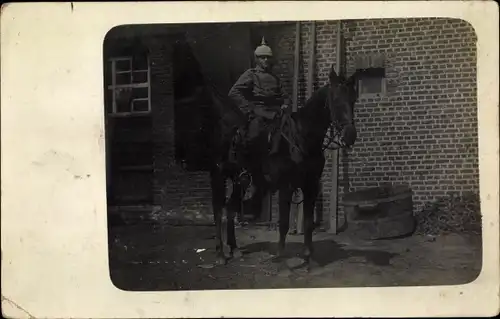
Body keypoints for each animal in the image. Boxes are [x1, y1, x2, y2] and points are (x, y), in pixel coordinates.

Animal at [208, 64, 360, 268]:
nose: (350, 135)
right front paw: (280, 255)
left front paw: (308, 256)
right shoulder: (286, 186)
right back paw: (220, 255)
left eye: (353, 99)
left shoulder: (311, 185)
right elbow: (284, 222)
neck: (302, 138)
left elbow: (308, 222)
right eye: (335, 99)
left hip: (240, 180)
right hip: (218, 175)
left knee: (231, 209)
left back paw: (235, 249)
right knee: (218, 211)